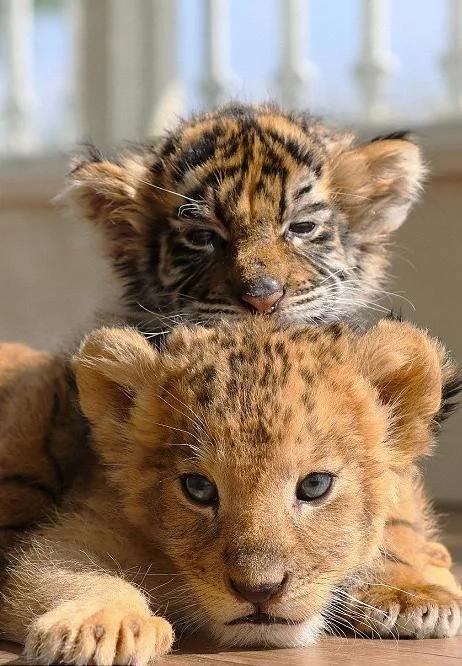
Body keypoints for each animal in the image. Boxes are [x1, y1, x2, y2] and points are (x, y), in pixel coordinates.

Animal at [1, 319, 461, 666]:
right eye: (199, 488)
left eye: (314, 485)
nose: (259, 591)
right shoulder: (80, 529)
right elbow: (68, 574)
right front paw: (102, 629)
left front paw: (413, 591)